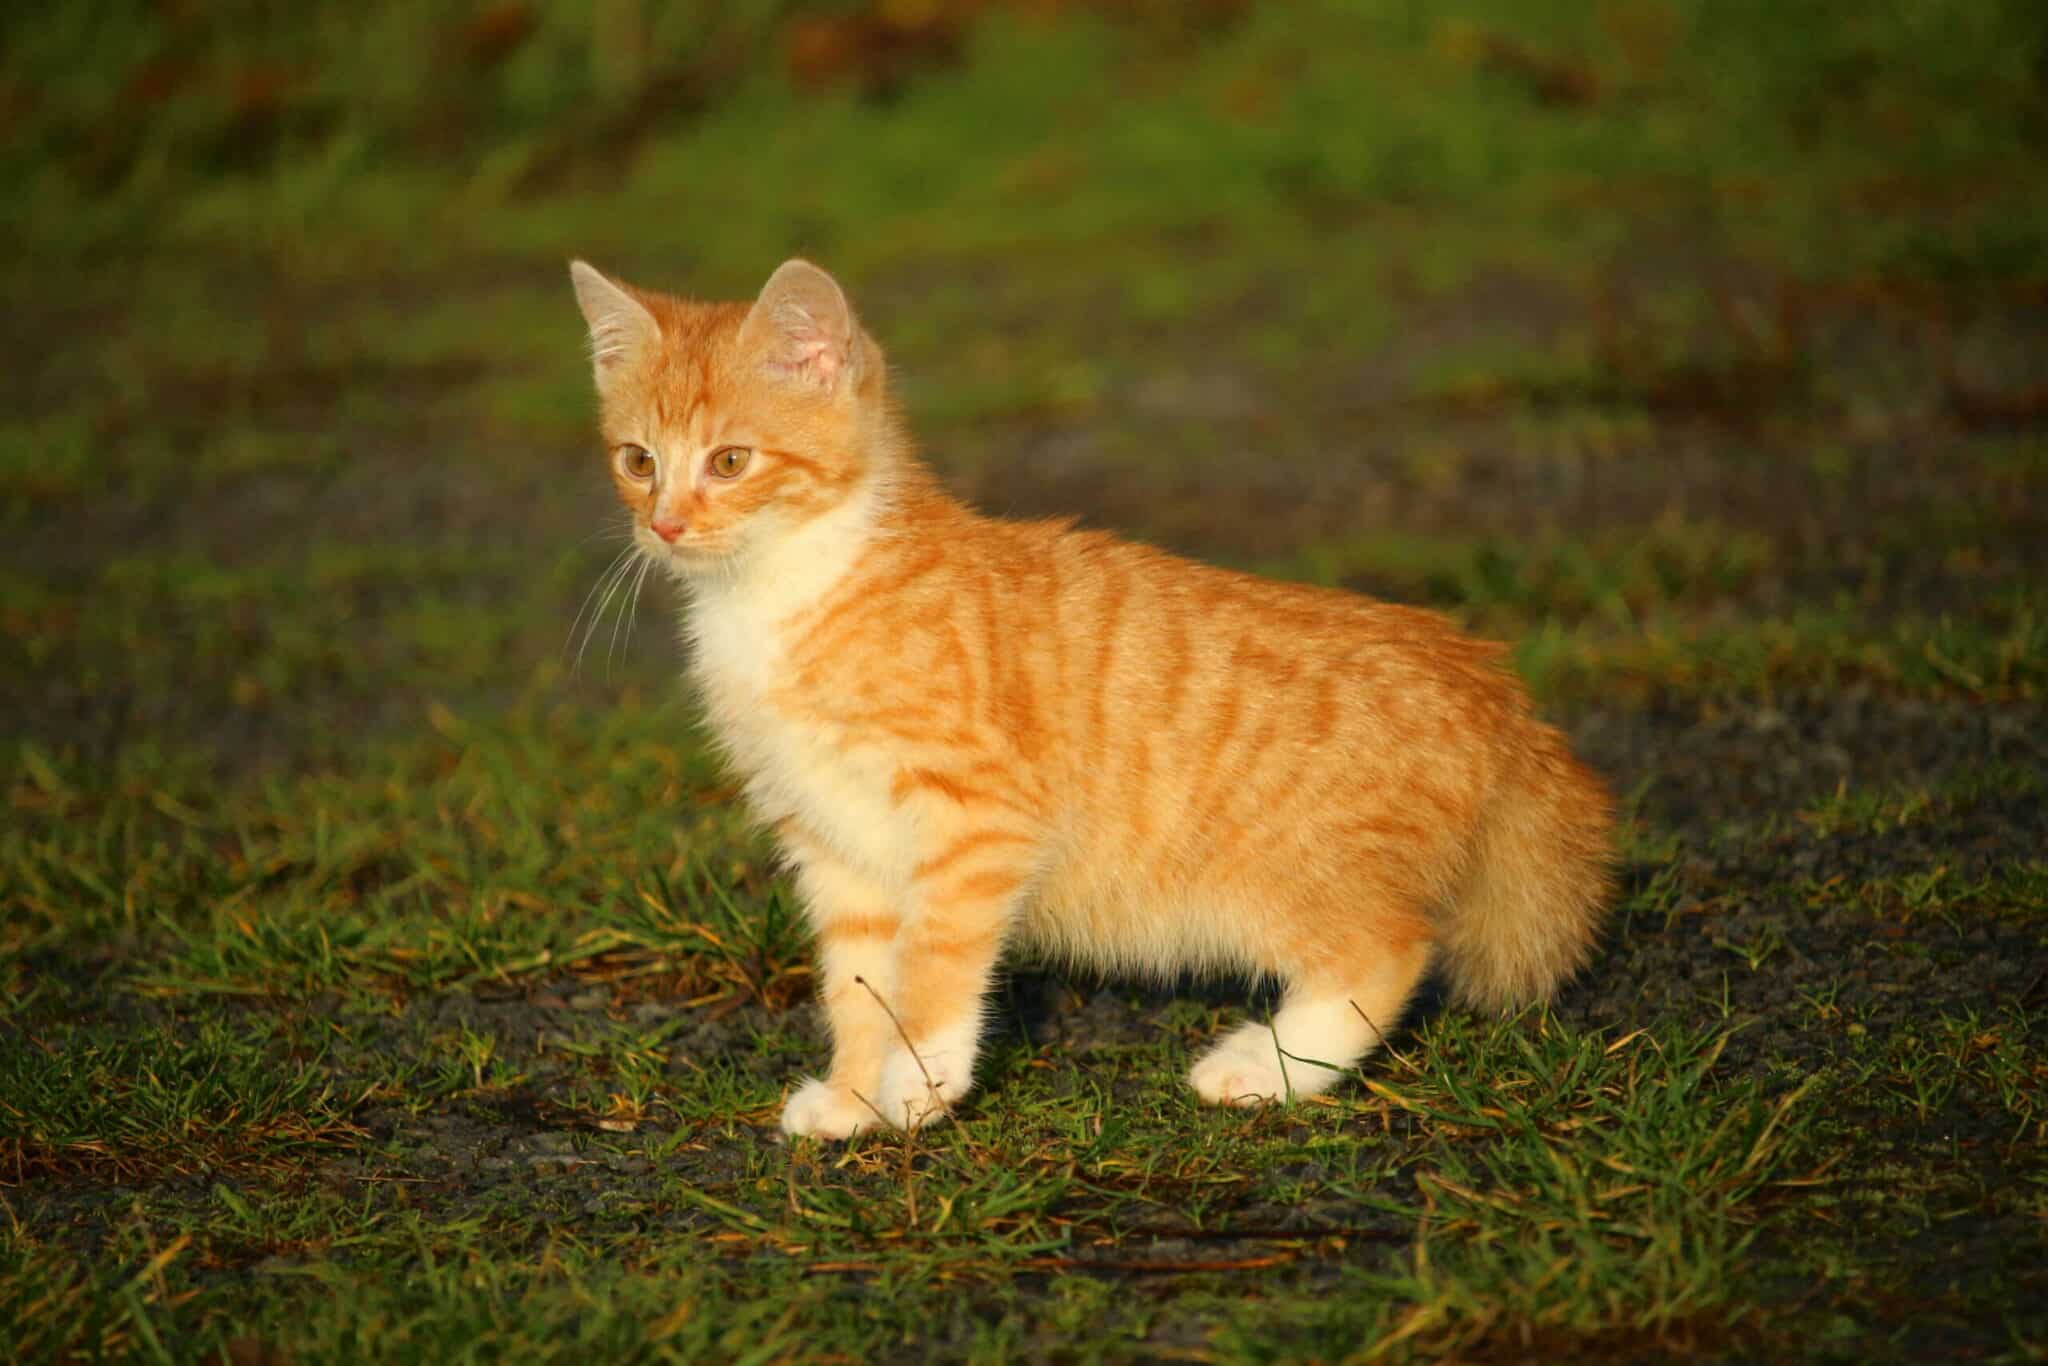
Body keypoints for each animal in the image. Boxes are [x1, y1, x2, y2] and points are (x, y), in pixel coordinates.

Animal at [573, 259, 1613, 1146]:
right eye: (637, 460)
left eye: (731, 461)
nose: (664, 525)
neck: (789, 586)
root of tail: (1490, 680)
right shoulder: (834, 845)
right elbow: (860, 980)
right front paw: (853, 1095)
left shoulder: (979, 816)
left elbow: (937, 961)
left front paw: (921, 1080)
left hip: (1278, 871)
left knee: (1388, 950)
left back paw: (1265, 1068)